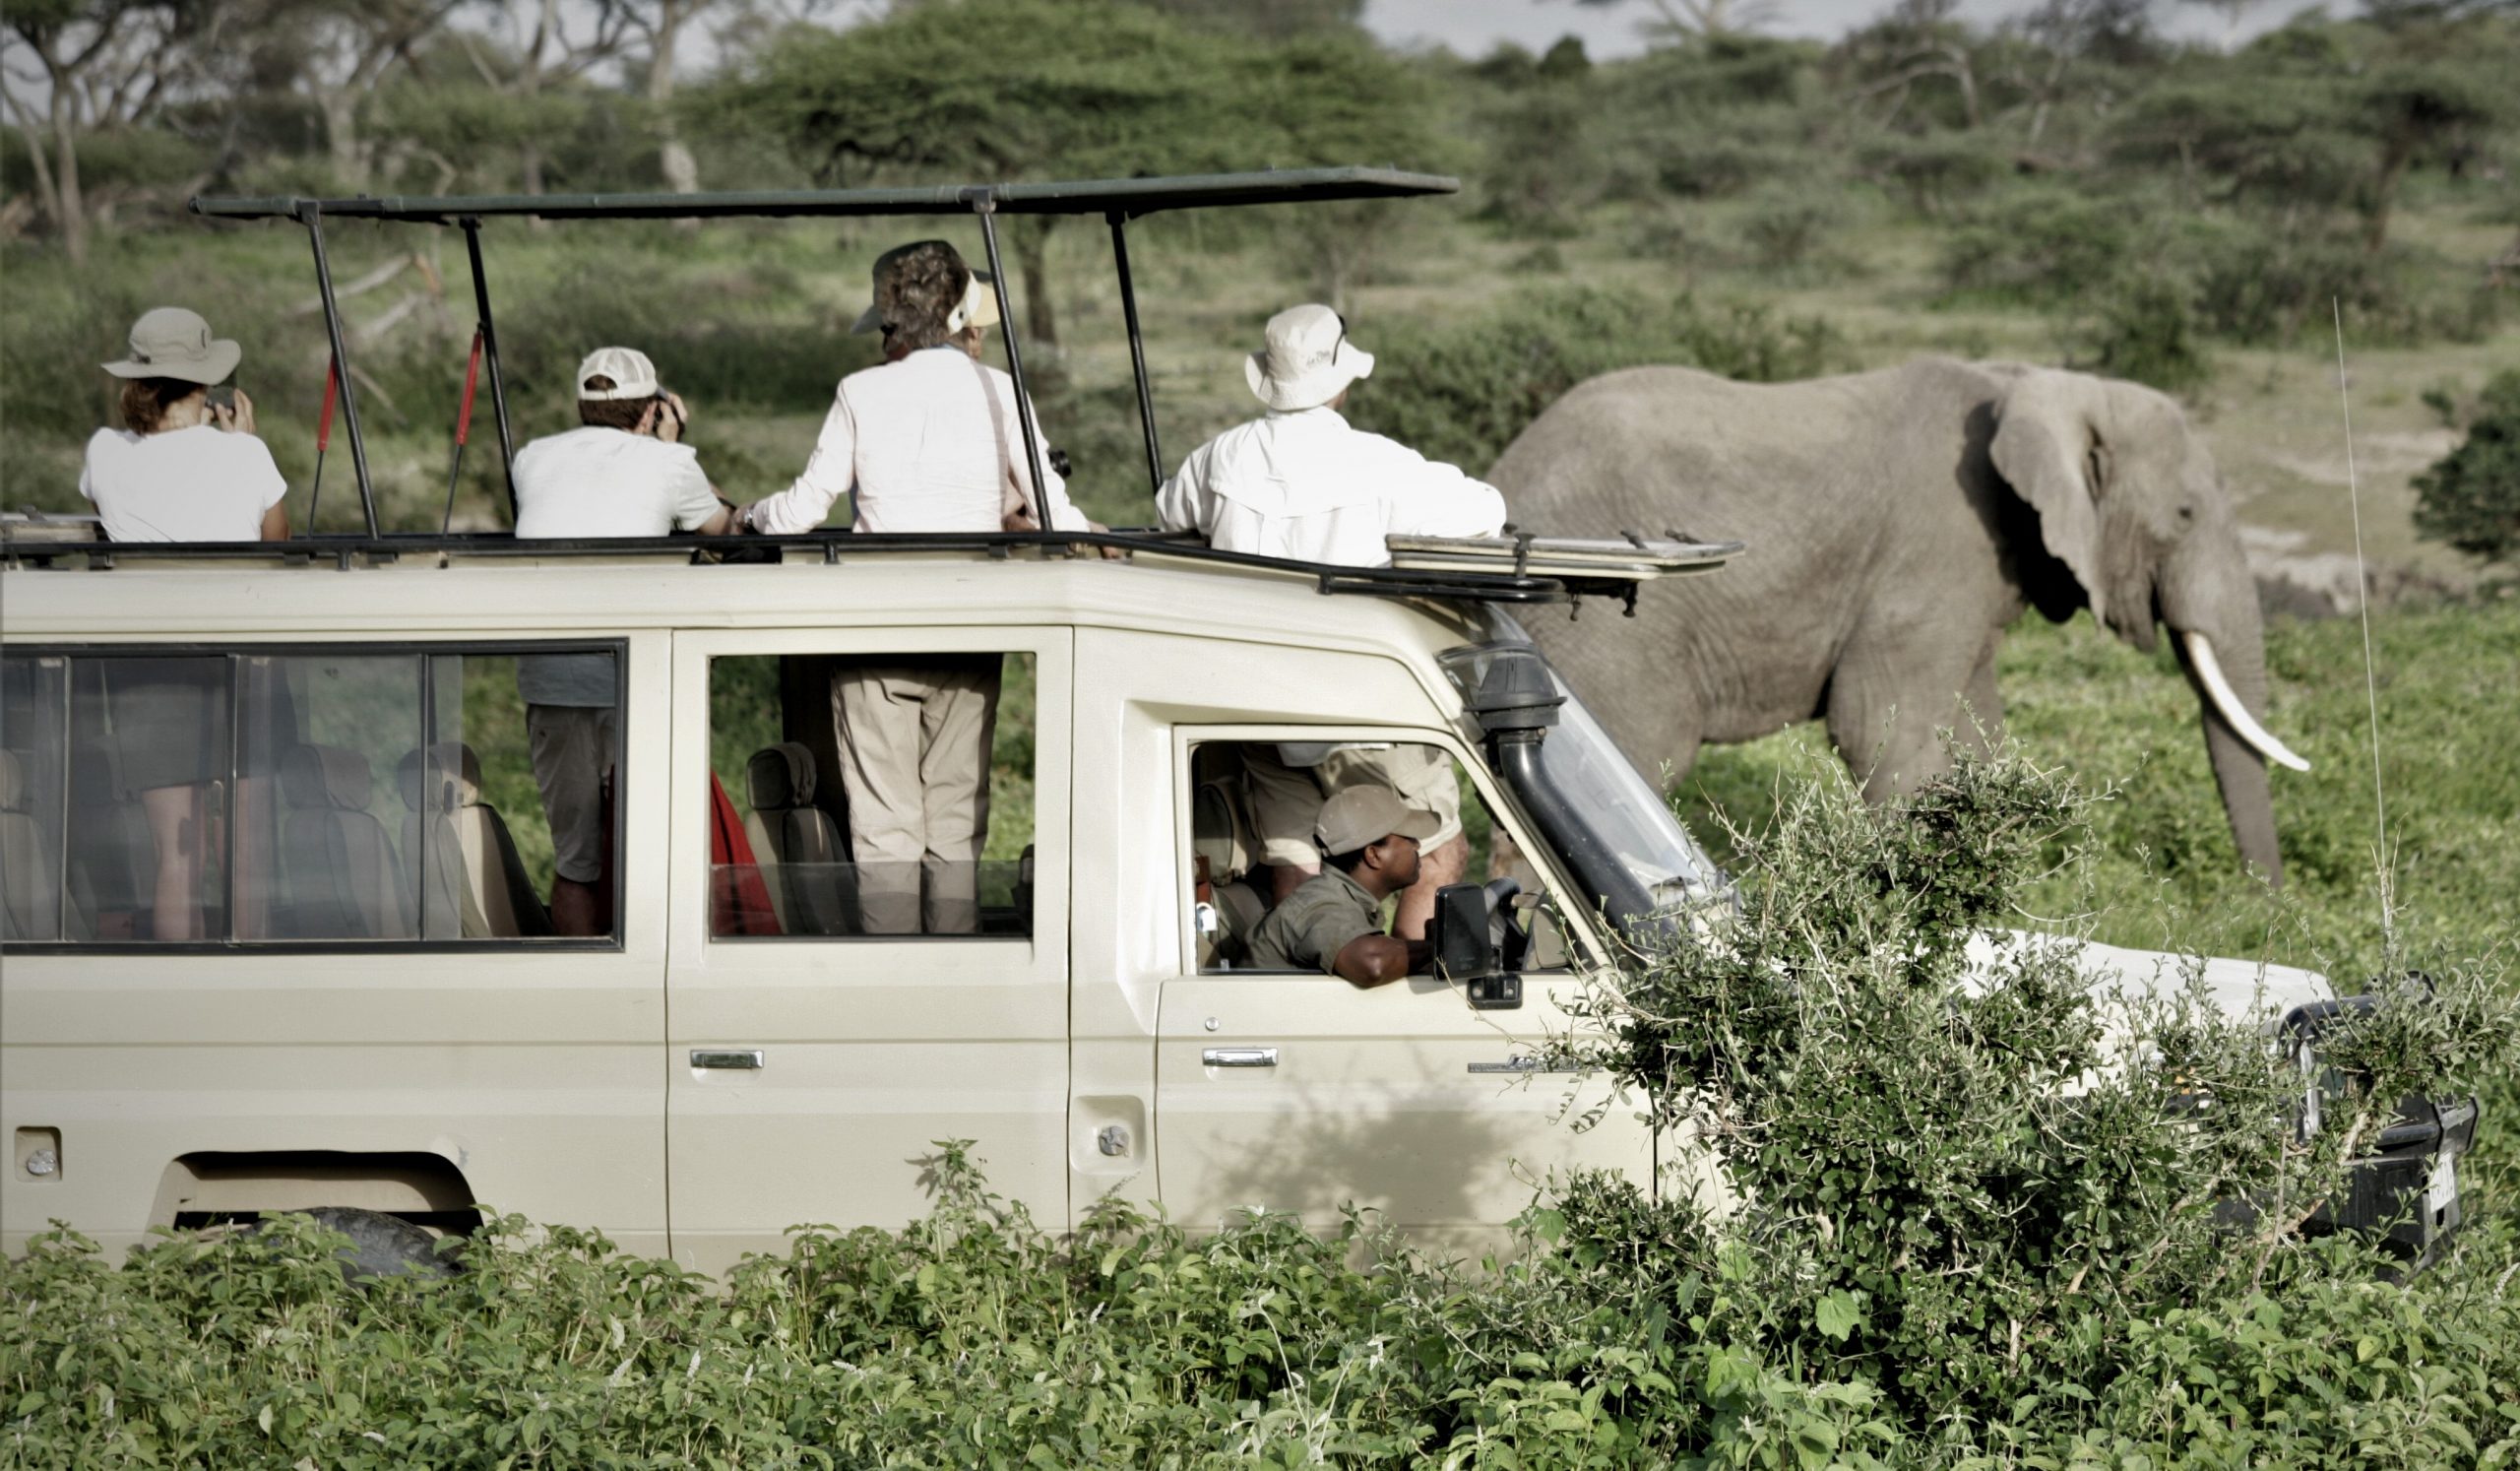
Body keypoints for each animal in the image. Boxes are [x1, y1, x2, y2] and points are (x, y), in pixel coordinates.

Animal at [1486, 358, 2308, 883]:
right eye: (2186, 514)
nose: (2260, 901)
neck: (2027, 383)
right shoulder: (1935, 547)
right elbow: (1881, 728)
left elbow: (1976, 739)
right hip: (1609, 627)